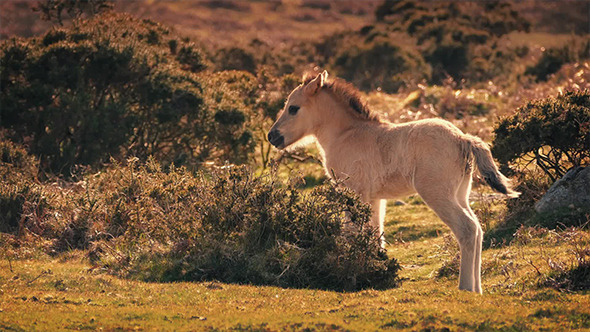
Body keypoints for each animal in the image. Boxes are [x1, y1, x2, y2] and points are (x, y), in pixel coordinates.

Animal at [268, 70, 520, 294]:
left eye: (293, 108)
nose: (272, 136)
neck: (346, 134)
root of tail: (462, 138)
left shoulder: (354, 193)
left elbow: (353, 233)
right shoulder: (374, 198)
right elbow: (375, 234)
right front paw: (375, 271)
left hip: (437, 194)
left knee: (467, 230)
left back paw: (465, 288)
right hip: (460, 194)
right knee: (477, 229)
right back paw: (477, 289)